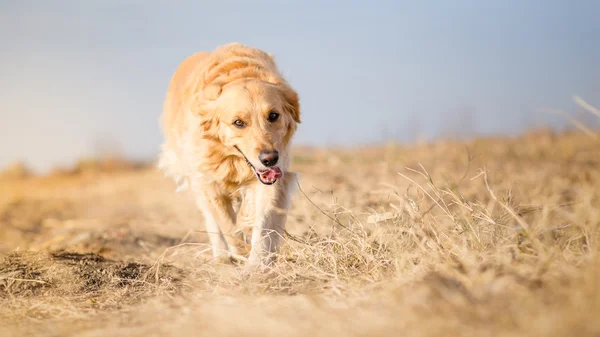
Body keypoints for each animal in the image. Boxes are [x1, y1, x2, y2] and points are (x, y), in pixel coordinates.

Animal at [158, 42, 300, 270]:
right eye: (238, 122)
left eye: (273, 116)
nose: (269, 158)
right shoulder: (209, 182)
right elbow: (227, 225)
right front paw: (241, 251)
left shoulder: (274, 179)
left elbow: (262, 224)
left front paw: (255, 266)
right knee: (212, 222)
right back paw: (222, 257)